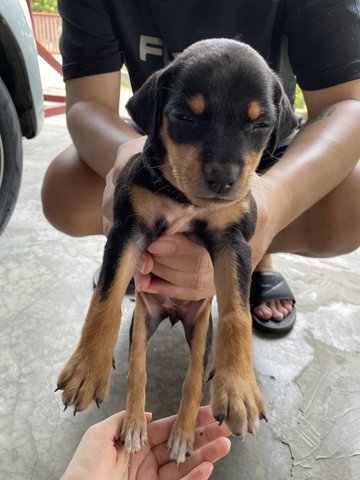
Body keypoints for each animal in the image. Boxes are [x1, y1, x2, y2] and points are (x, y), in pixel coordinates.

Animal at [57, 38, 298, 464]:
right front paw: (86, 369)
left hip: (200, 329)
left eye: (260, 125)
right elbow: (106, 296)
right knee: (138, 369)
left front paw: (239, 389)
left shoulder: (233, 240)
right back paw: (135, 427)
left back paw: (185, 434)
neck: (185, 200)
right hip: (143, 321)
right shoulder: (129, 229)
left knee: (193, 377)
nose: (222, 179)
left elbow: (237, 312)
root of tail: (170, 314)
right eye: (184, 116)